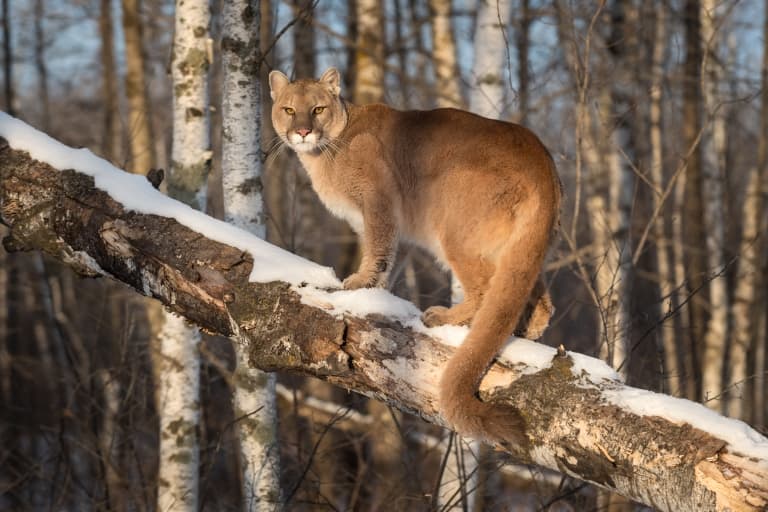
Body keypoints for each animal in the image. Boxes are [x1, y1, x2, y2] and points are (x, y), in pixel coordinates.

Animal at [272, 68, 560, 448]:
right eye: (289, 110)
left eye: (317, 109)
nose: (303, 131)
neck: (329, 148)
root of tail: (541, 160)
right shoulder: (392, 225)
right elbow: (386, 257)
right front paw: (374, 292)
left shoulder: (378, 202)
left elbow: (378, 249)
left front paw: (359, 284)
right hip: (517, 249)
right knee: (536, 300)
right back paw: (525, 330)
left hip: (451, 225)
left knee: (485, 291)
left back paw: (444, 317)